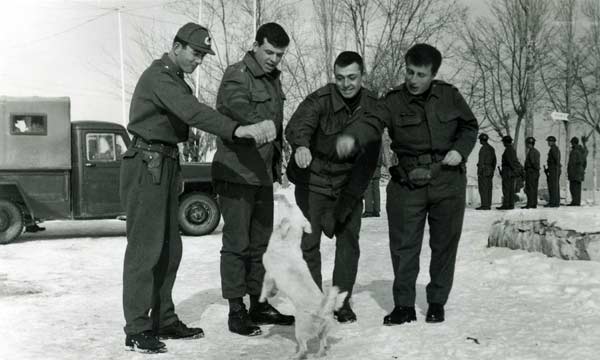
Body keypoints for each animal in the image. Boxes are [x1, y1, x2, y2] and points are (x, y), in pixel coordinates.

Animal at [258, 195, 346, 358]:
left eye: (290, 206)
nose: (282, 196)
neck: (286, 242)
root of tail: (322, 310)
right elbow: (271, 288)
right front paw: (272, 293)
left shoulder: (269, 273)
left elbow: (264, 286)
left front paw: (262, 298)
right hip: (323, 330)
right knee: (323, 342)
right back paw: (319, 354)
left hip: (299, 328)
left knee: (304, 347)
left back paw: (296, 355)